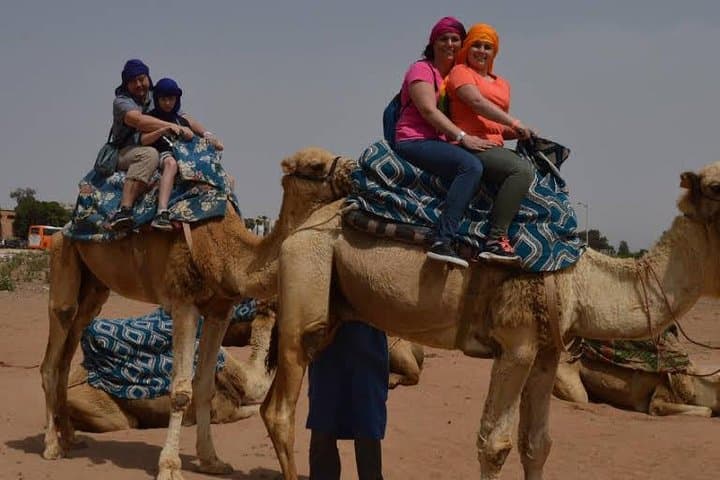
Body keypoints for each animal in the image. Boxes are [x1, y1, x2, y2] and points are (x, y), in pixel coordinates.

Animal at [261, 161, 720, 480]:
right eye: (715, 186)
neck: (576, 279)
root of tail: (299, 229)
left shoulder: (548, 352)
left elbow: (537, 444)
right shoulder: (516, 345)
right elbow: (494, 444)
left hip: (333, 302)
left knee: (274, 404)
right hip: (306, 271)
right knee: (282, 408)